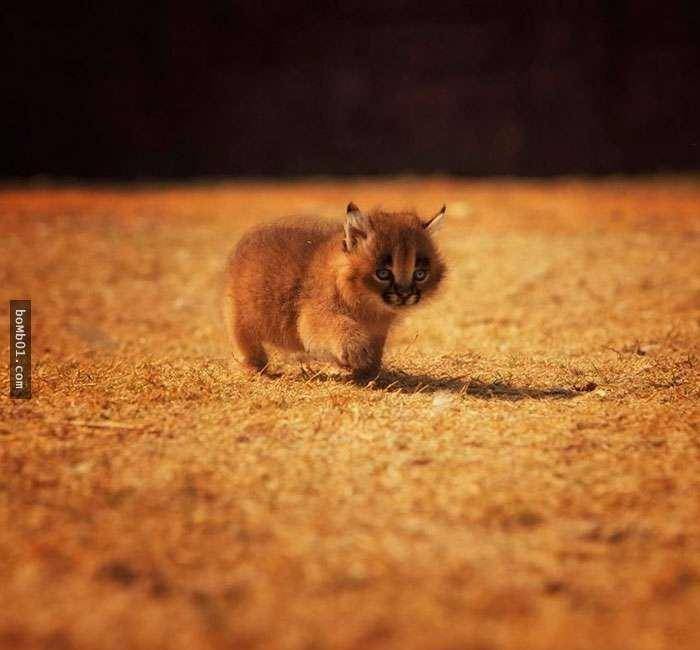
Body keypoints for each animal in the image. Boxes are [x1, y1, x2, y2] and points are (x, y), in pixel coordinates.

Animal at [221, 201, 446, 374]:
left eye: (420, 274)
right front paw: (356, 351)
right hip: (240, 315)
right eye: (382, 273)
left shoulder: (380, 328)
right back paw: (254, 367)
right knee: (244, 340)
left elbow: (376, 346)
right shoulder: (313, 315)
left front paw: (369, 368)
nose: (405, 294)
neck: (368, 305)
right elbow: (335, 325)